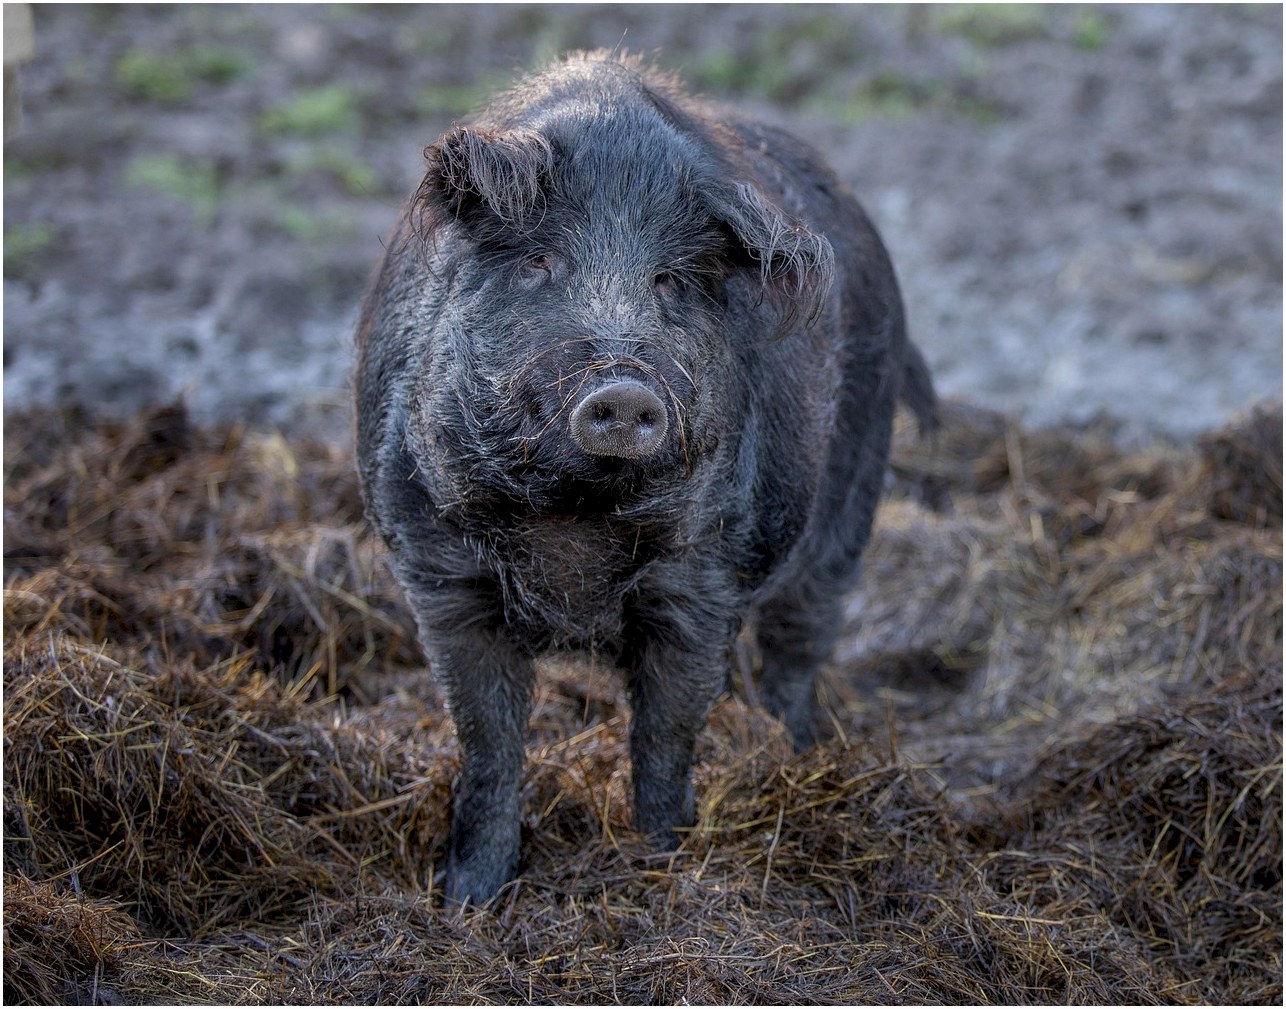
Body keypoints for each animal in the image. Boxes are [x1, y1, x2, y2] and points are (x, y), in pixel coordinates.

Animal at [355, 51, 936, 905]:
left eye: (669, 281)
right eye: (539, 263)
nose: (624, 388)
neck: (573, 521)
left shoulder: (702, 584)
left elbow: (665, 735)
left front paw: (664, 864)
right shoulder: (440, 575)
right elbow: (488, 738)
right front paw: (467, 900)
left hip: (852, 501)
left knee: (800, 643)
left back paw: (798, 751)